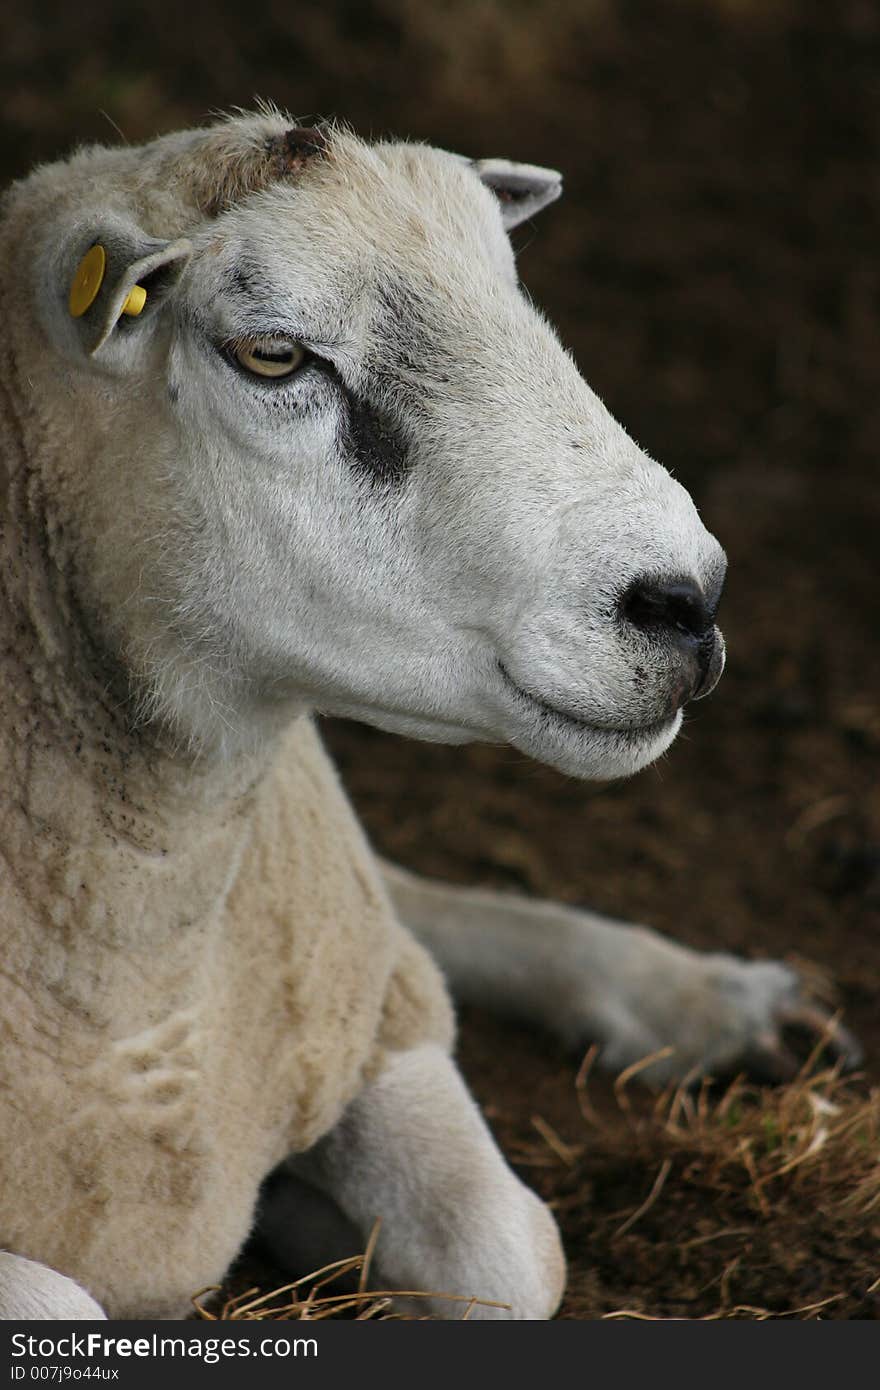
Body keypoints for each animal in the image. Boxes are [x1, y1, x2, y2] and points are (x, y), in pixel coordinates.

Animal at [0, 105, 856, 1312]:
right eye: (273, 354)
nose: (687, 600)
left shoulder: (368, 1014)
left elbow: (509, 1250)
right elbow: (60, 1295)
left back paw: (719, 1003)